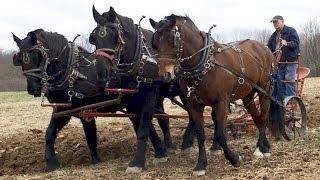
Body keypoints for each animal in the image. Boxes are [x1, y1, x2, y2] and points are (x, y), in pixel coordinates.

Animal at [11, 29, 175, 172]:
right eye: (19, 59)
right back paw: (164, 147)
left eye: (37, 55)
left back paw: (167, 146)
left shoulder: (85, 110)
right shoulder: (63, 110)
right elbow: (49, 134)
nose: (33, 88)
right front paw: (51, 163)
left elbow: (90, 135)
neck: (72, 73)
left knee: (158, 120)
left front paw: (95, 160)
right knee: (156, 120)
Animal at [150, 14, 276, 175]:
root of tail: (264, 49)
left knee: (264, 117)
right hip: (247, 95)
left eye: (173, 41)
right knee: (257, 119)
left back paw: (263, 148)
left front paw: (234, 158)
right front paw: (201, 164)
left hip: (264, 91)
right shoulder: (194, 105)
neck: (205, 64)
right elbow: (200, 134)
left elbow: (221, 134)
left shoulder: (221, 103)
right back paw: (262, 147)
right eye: (154, 44)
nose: (164, 75)